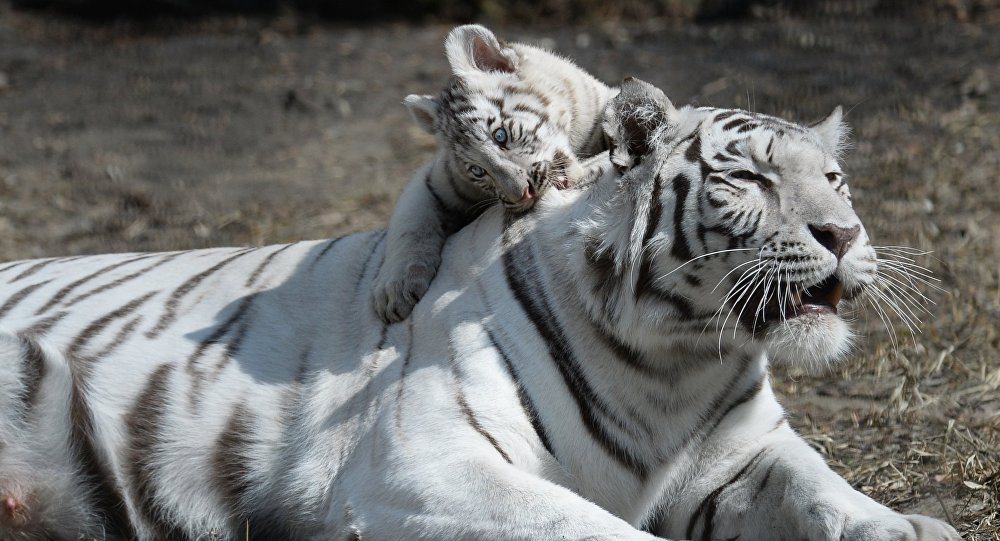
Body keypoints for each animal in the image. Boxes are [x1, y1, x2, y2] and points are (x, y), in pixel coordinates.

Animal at [0, 78, 956, 536]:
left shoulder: (744, 454)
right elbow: (592, 530)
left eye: (833, 178)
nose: (844, 233)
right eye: (750, 179)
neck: (677, 360)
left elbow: (828, 490)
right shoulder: (423, 464)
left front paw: (911, 528)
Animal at [374, 24, 612, 320]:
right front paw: (393, 291)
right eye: (477, 170)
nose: (523, 195)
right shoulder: (433, 181)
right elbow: (409, 225)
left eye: (500, 135)